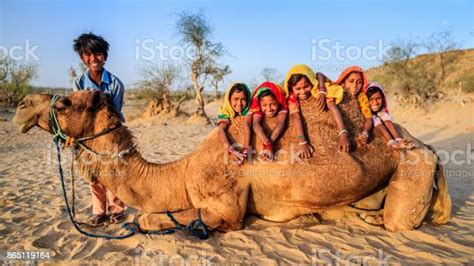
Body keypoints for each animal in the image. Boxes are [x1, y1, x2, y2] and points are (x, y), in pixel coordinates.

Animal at [13, 90, 452, 233]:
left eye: (65, 102)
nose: (20, 107)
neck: (181, 171)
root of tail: (428, 147)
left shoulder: (225, 207)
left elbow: (151, 218)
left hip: (413, 167)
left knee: (397, 220)